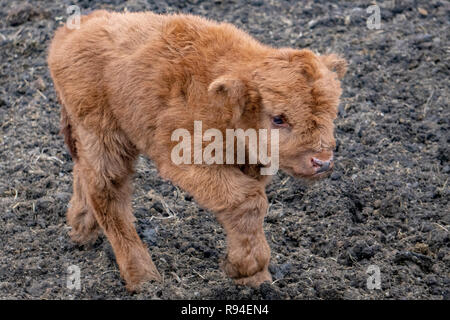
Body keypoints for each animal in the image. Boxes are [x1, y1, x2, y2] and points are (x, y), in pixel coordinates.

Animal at [47, 10, 346, 292]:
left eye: (332, 110)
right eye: (278, 118)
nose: (321, 161)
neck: (223, 104)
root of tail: (74, 29)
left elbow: (246, 212)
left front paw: (255, 279)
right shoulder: (188, 160)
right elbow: (248, 202)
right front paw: (247, 269)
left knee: (83, 172)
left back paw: (81, 229)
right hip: (103, 138)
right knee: (107, 192)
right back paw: (143, 278)